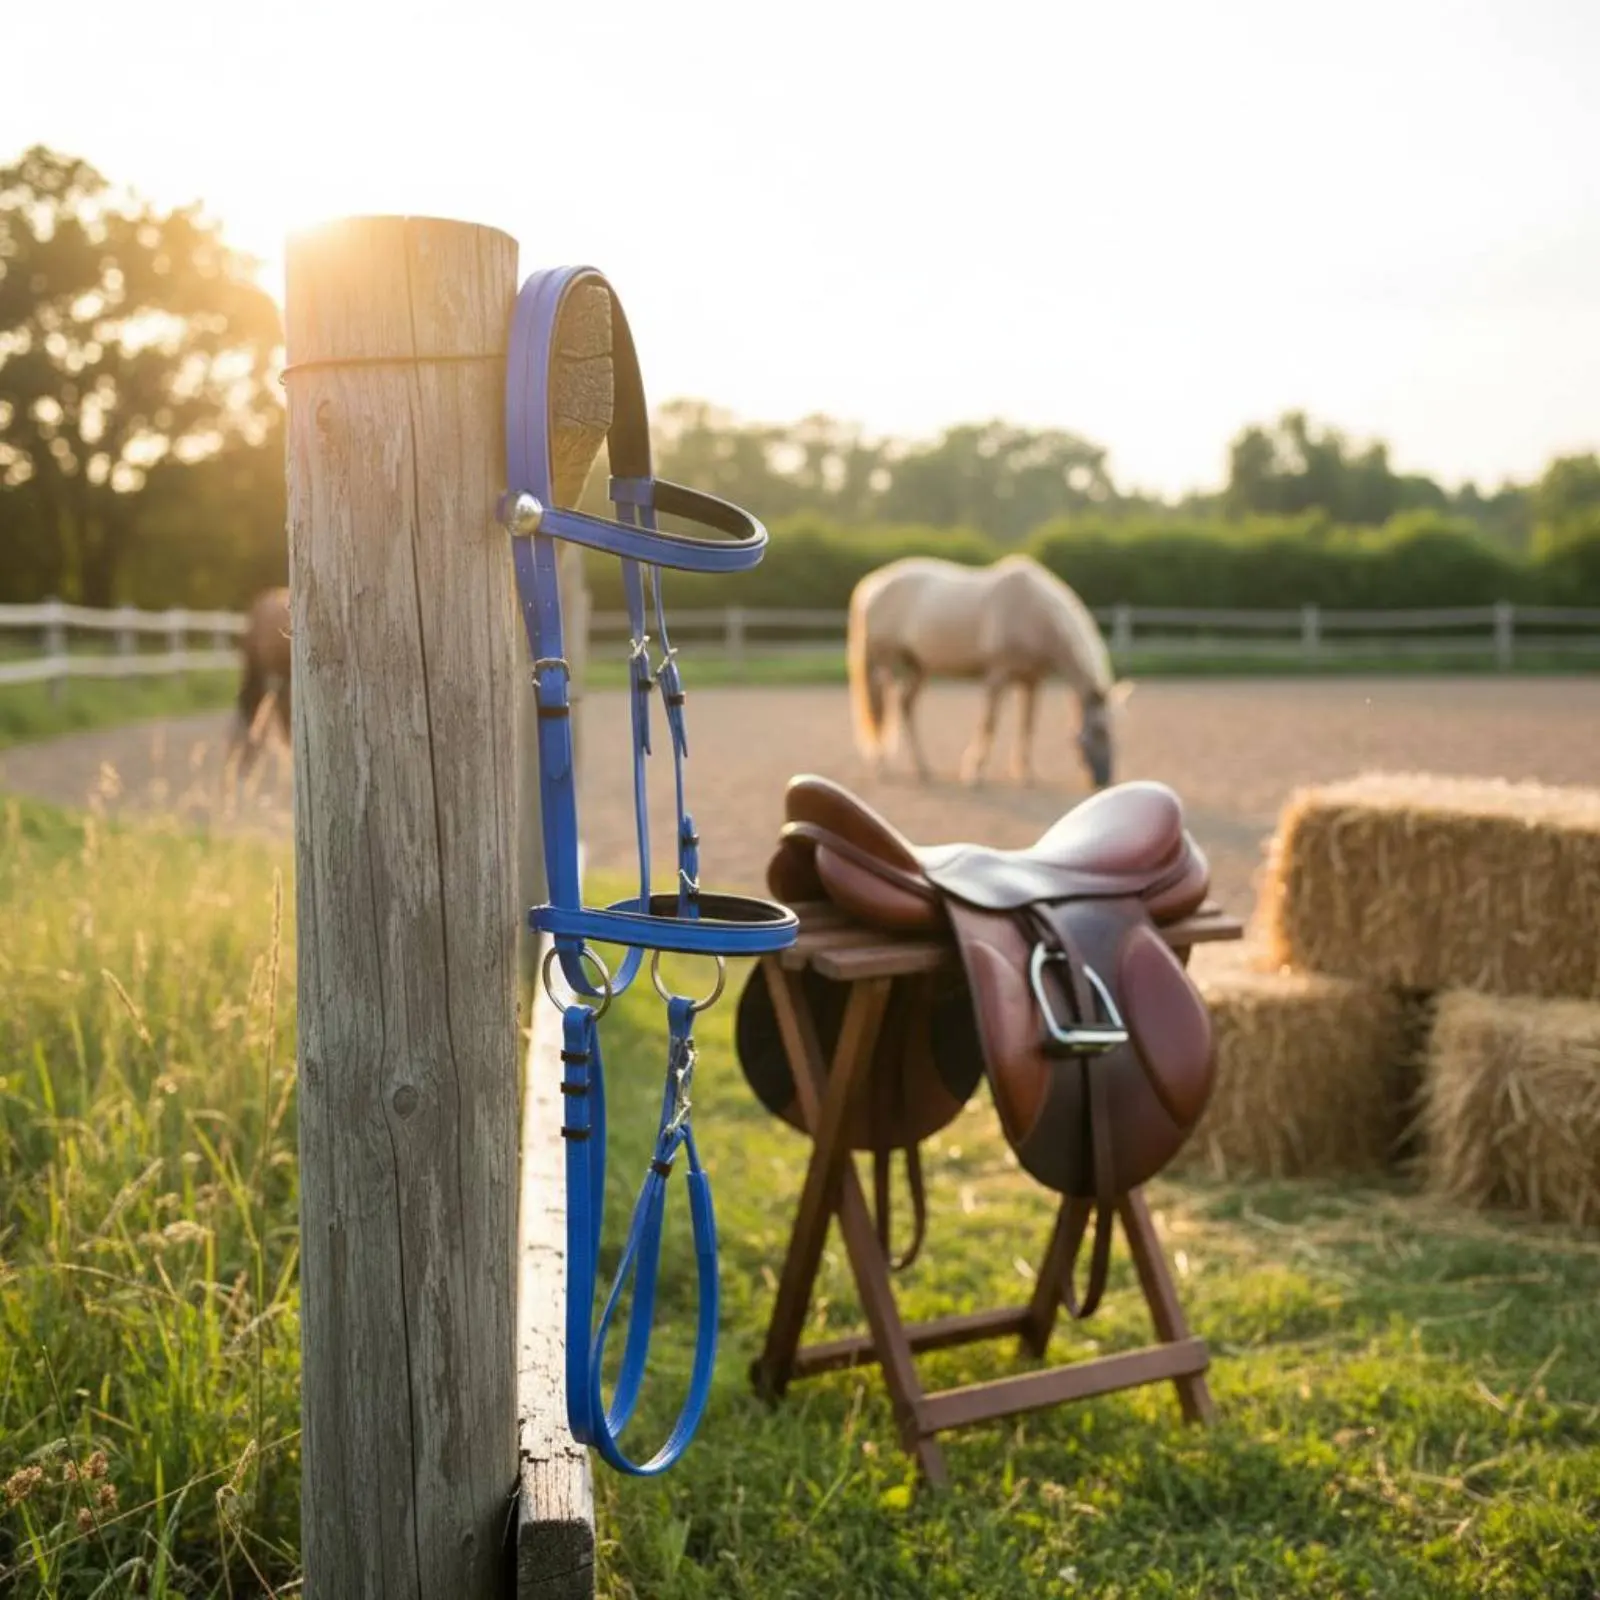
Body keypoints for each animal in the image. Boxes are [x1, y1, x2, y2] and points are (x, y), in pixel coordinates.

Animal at [845, 553, 1132, 789]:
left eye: (1114, 733)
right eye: (1098, 731)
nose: (1104, 780)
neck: (1033, 610)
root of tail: (872, 585)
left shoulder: (1031, 681)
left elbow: (1027, 726)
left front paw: (1025, 775)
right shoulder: (997, 676)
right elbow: (989, 723)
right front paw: (974, 774)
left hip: (918, 667)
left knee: (905, 705)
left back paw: (923, 769)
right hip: (884, 663)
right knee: (881, 710)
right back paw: (882, 766)